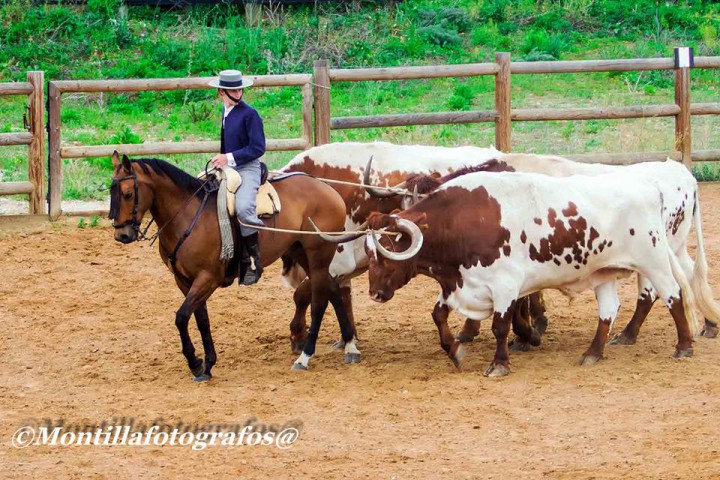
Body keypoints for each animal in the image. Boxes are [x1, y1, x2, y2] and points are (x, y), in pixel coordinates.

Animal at [108, 152, 358, 380]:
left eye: (128, 194)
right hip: (301, 251)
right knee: (332, 289)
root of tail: (327, 188)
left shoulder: (208, 278)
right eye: (111, 193)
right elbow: (201, 320)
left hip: (318, 255)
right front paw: (207, 364)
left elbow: (181, 317)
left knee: (320, 300)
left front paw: (195, 362)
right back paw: (350, 345)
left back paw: (305, 356)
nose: (122, 235)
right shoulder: (184, 280)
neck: (188, 216)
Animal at [334, 169, 708, 376]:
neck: (465, 220)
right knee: (608, 311)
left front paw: (500, 363)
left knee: (672, 295)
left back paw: (683, 345)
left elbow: (500, 326)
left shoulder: (505, 285)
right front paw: (455, 350)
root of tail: (650, 187)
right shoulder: (459, 282)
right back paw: (593, 353)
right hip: (604, 273)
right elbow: (438, 315)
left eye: (386, 252)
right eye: (368, 251)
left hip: (653, 261)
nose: (375, 293)